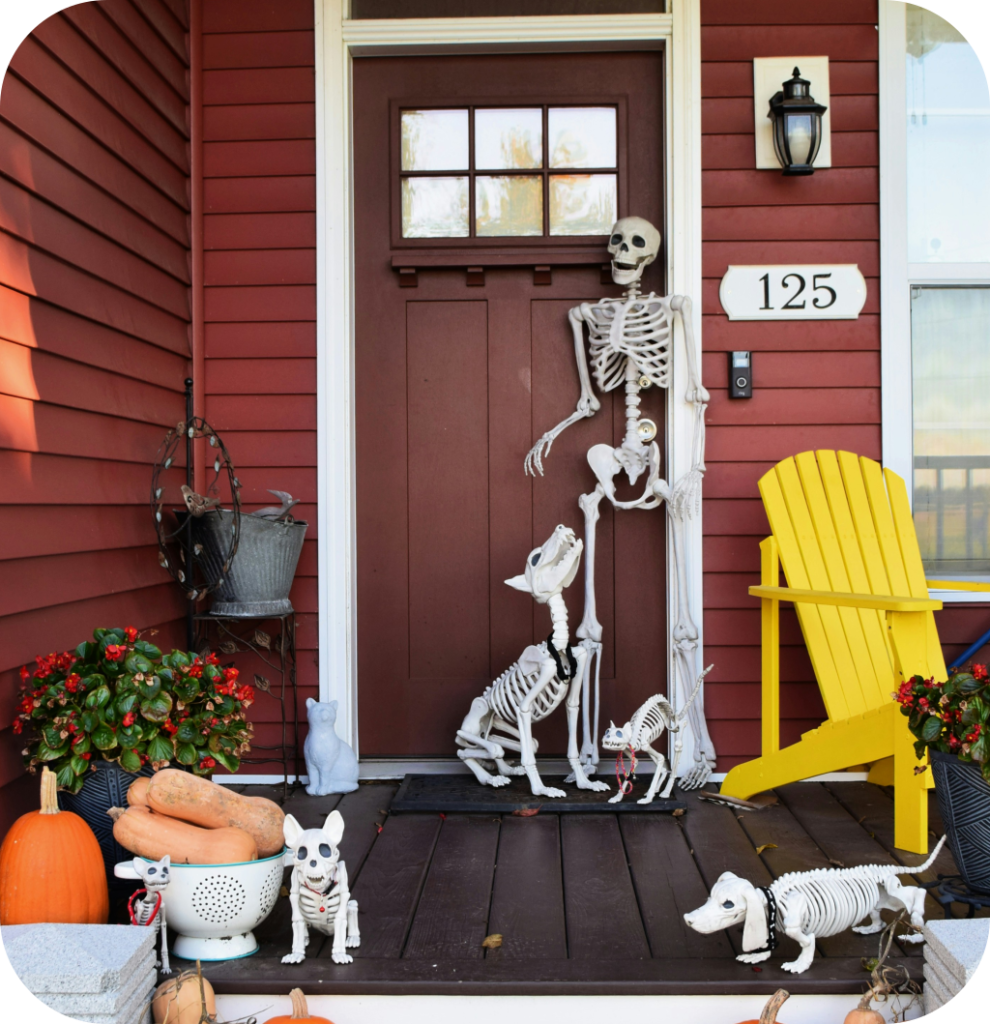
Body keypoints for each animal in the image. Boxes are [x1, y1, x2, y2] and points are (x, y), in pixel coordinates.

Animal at [278, 806, 360, 966]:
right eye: (302, 853)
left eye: (325, 851)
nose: (313, 863)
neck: (321, 892)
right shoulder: (294, 889)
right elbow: (297, 919)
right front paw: (296, 954)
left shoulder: (343, 883)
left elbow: (341, 917)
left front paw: (339, 954)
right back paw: (304, 938)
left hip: (350, 906)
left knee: (352, 906)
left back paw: (353, 938)